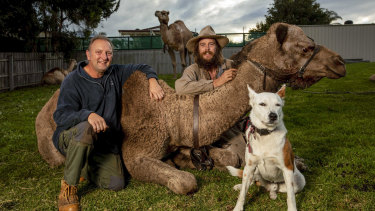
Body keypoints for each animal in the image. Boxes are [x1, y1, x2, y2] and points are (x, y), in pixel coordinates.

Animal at [35, 22, 346, 195]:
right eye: (305, 48)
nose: (340, 63)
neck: (175, 117)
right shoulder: (136, 153)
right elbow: (186, 182)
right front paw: (187, 165)